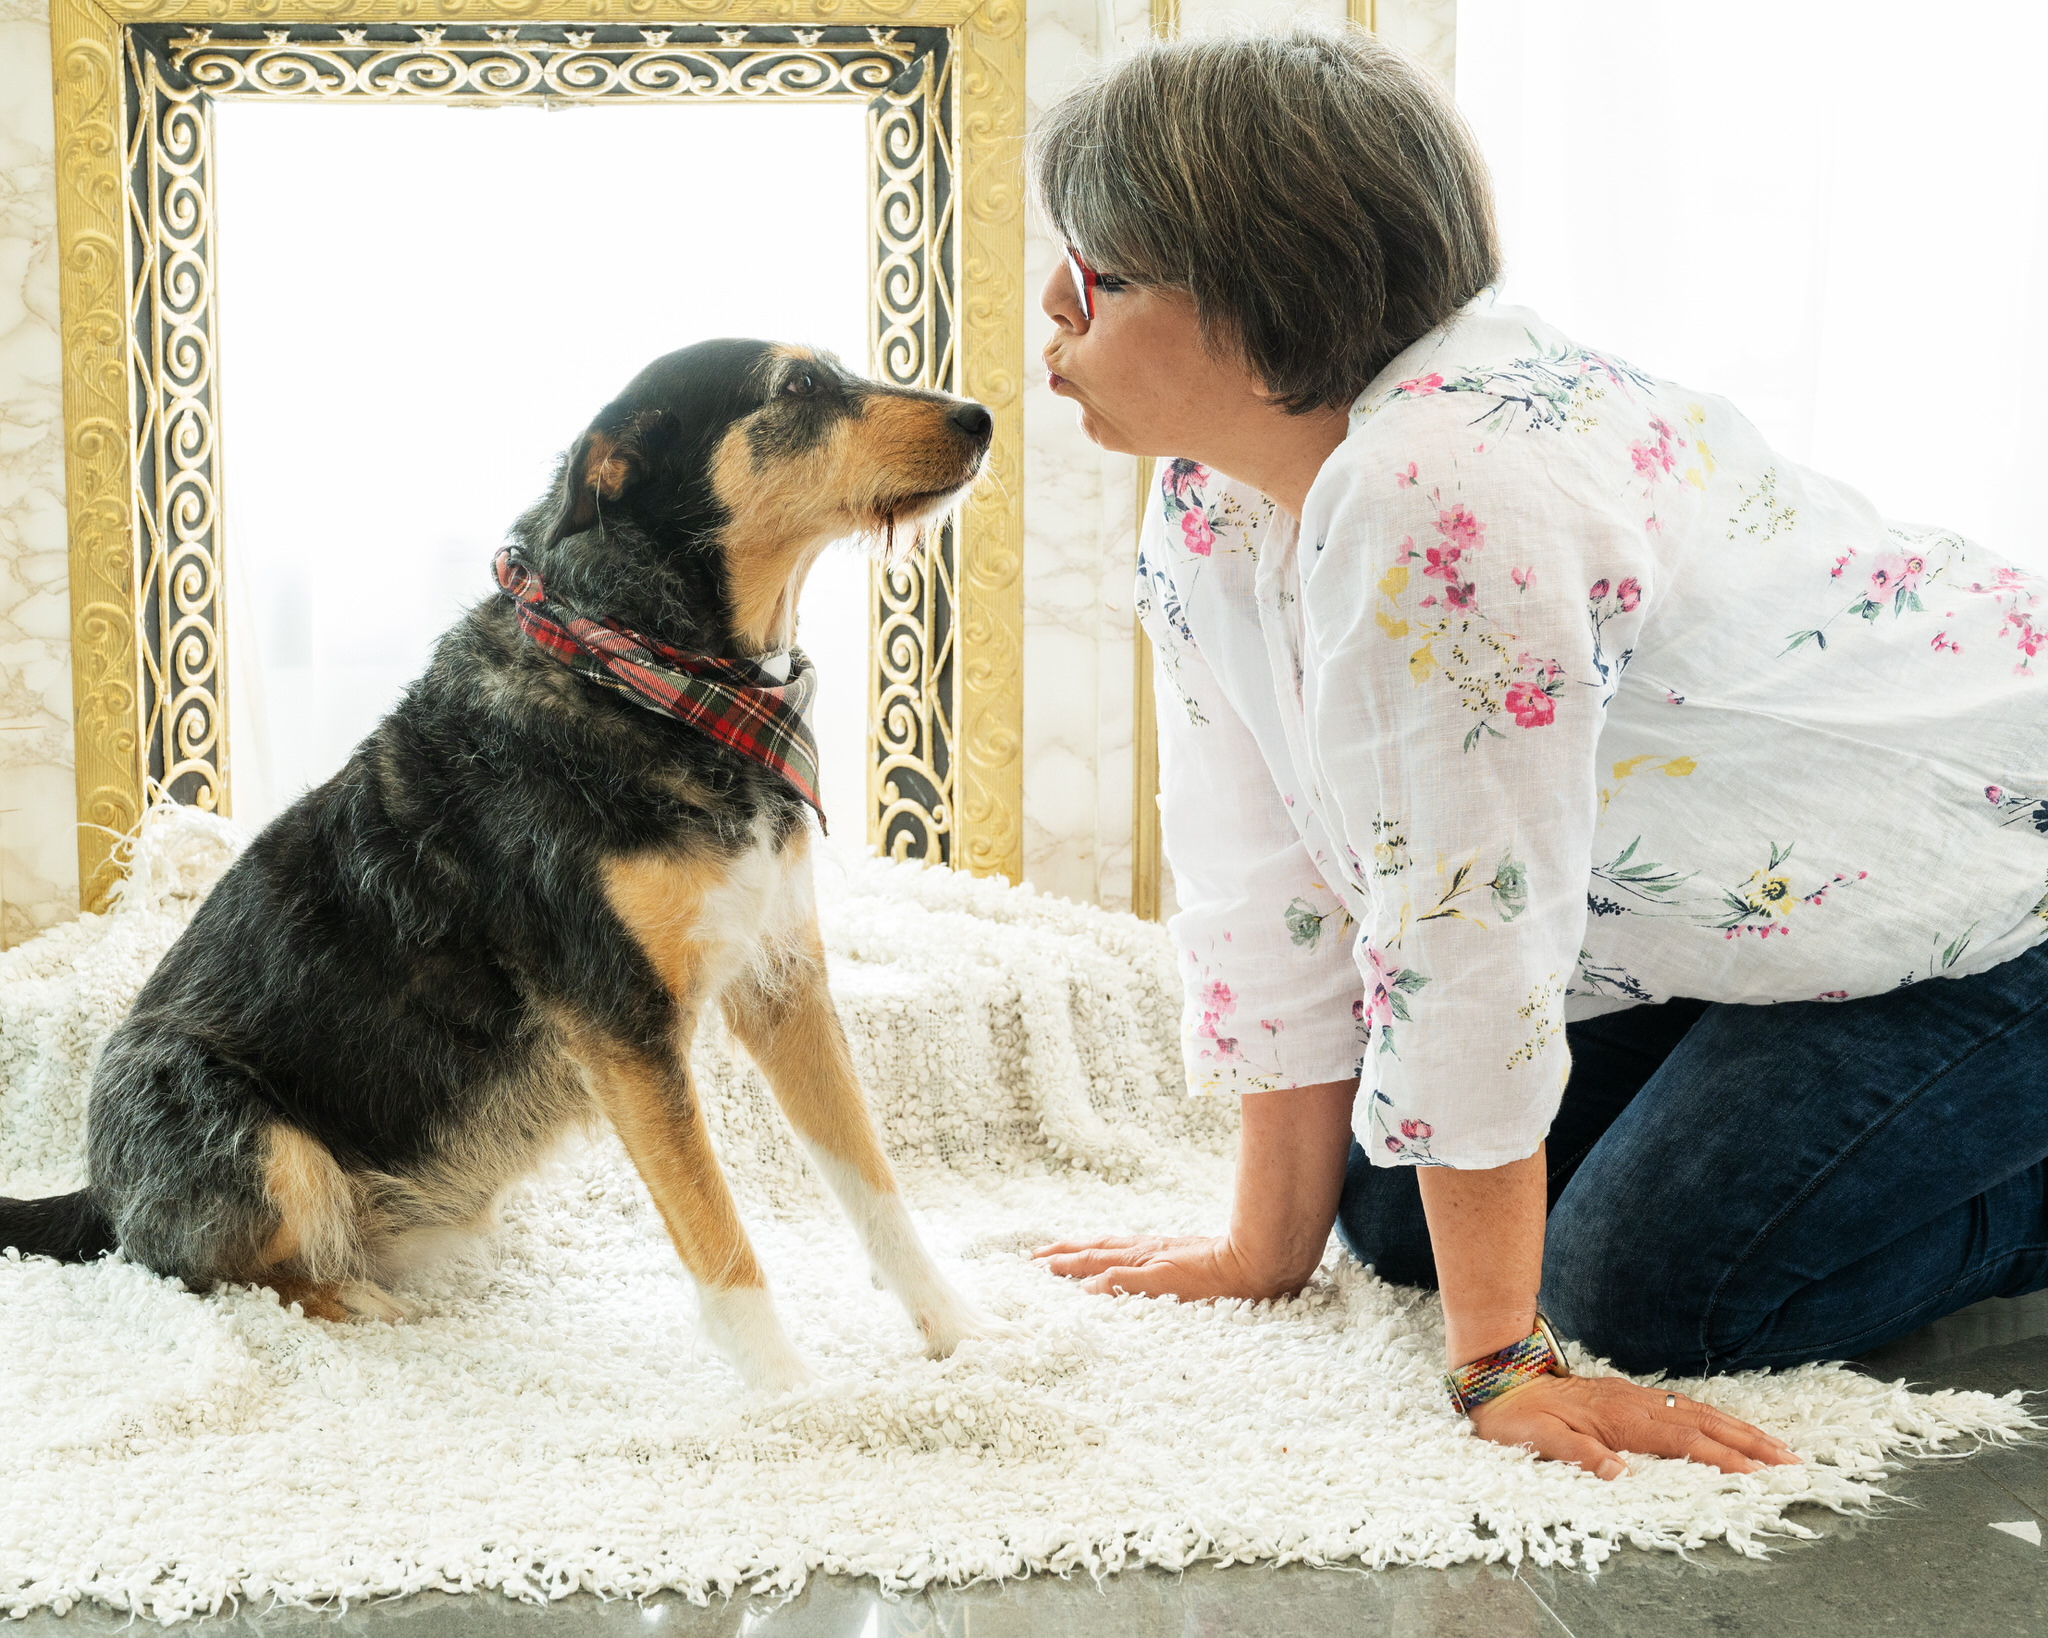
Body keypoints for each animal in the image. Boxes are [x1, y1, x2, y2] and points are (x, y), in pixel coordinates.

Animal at [0, 339, 999, 1392]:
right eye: (799, 386)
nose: (980, 417)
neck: (664, 676)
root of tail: (96, 1190)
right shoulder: (624, 1024)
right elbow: (719, 1233)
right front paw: (792, 1398)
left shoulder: (784, 981)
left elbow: (874, 1183)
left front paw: (959, 1333)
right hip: (249, 1135)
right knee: (215, 1272)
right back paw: (366, 1305)